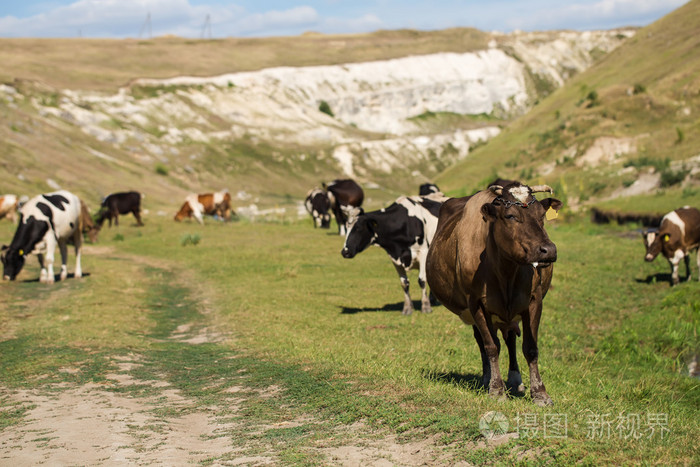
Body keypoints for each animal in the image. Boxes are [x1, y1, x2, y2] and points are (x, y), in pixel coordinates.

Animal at [426, 183, 564, 406]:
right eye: (510, 215)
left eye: (542, 215)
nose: (548, 250)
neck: (505, 271)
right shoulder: (476, 303)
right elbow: (491, 346)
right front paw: (497, 390)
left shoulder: (534, 300)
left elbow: (530, 348)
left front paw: (540, 394)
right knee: (483, 341)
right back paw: (487, 378)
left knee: (510, 339)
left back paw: (515, 380)